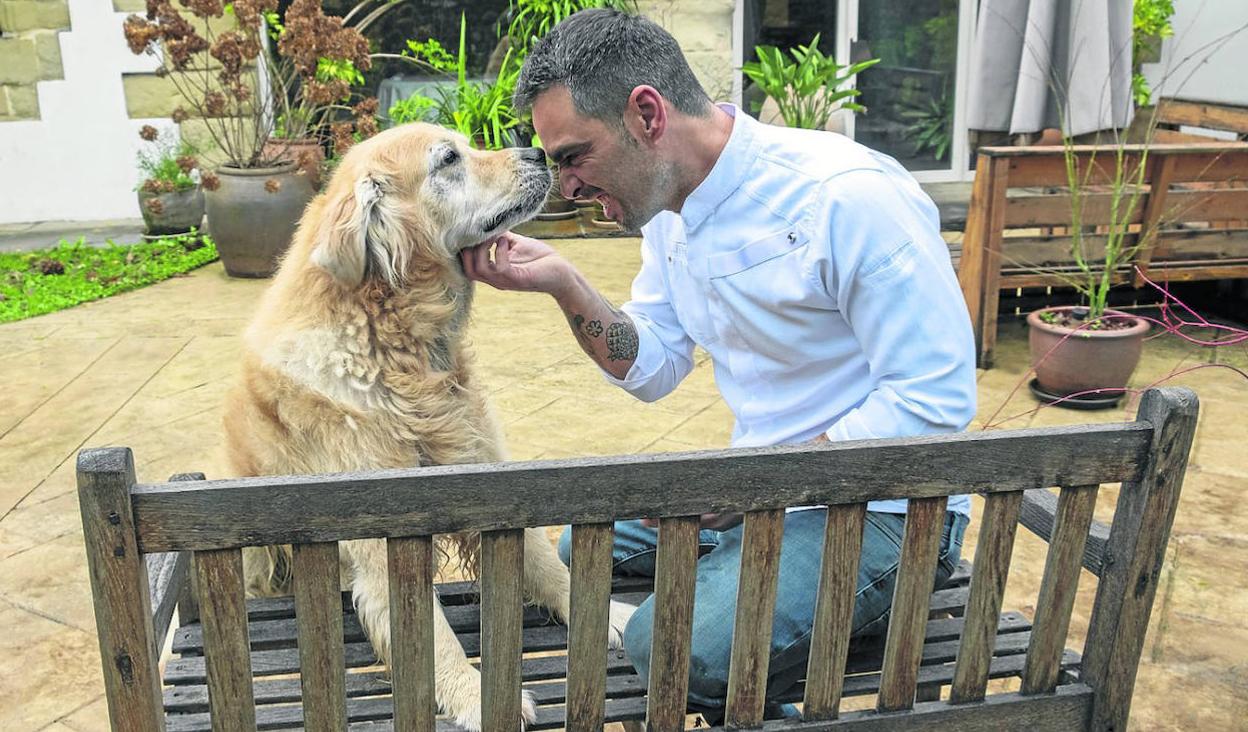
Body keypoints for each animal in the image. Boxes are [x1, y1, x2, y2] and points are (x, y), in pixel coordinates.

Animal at [219, 123, 633, 728]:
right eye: (448, 160)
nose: (537, 152)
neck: (395, 343)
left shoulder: (486, 466)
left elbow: (546, 563)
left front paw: (617, 617)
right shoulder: (383, 543)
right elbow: (435, 638)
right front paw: (477, 699)